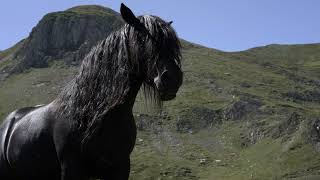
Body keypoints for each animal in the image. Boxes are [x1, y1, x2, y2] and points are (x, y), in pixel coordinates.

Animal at [0, 3, 182, 179]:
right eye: (143, 39)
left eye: (172, 44)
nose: (173, 79)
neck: (95, 111)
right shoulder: (72, 168)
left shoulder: (121, 168)